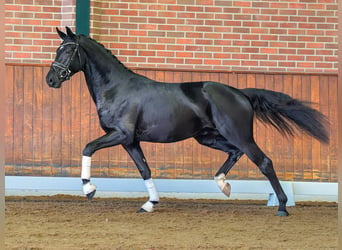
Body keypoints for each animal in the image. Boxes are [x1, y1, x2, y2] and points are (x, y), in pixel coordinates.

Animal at [46, 26, 328, 215]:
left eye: (69, 50)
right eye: (58, 49)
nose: (51, 79)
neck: (116, 89)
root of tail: (241, 93)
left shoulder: (121, 135)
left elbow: (88, 147)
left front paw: (89, 189)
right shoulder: (131, 141)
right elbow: (145, 170)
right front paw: (150, 204)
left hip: (238, 135)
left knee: (264, 162)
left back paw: (281, 206)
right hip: (207, 137)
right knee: (235, 153)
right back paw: (223, 186)